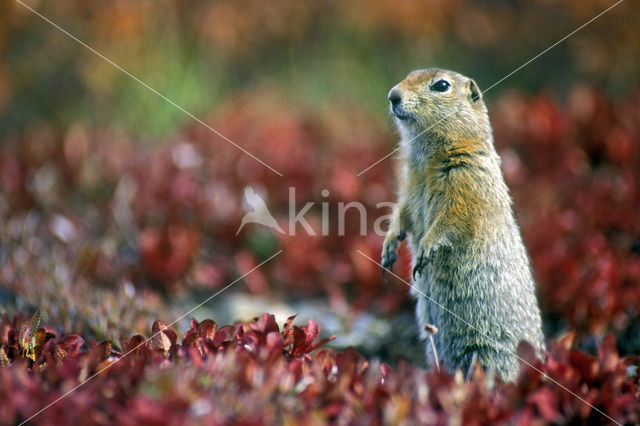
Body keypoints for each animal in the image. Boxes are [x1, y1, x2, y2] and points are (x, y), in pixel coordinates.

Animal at [380, 68, 544, 382]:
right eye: (408, 76)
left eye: (441, 86)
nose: (392, 95)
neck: (428, 157)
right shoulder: (409, 184)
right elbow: (401, 211)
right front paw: (389, 247)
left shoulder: (467, 180)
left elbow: (453, 219)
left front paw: (426, 249)